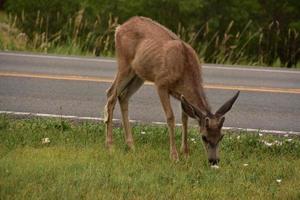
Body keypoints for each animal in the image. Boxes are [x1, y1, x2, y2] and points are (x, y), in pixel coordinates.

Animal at [103, 16, 239, 165]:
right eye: (204, 137)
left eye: (221, 136)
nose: (214, 160)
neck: (184, 69)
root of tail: (119, 28)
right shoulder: (161, 83)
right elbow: (170, 117)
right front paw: (174, 156)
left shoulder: (182, 95)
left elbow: (184, 118)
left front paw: (185, 153)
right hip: (124, 64)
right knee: (111, 94)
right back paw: (110, 145)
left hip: (138, 74)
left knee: (123, 96)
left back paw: (131, 145)